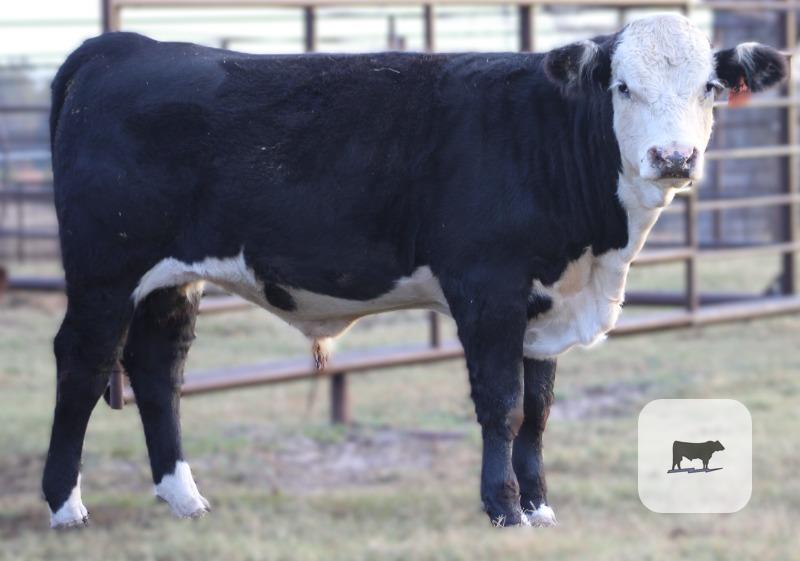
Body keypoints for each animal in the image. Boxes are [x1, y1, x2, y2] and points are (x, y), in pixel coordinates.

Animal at [43, 13, 786, 528]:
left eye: (710, 87)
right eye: (623, 87)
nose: (674, 157)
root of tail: (127, 45)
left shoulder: (546, 301)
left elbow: (539, 410)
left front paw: (540, 505)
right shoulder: (488, 288)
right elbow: (504, 404)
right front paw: (503, 507)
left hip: (171, 278)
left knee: (157, 367)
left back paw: (183, 496)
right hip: (105, 269)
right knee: (83, 362)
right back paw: (64, 504)